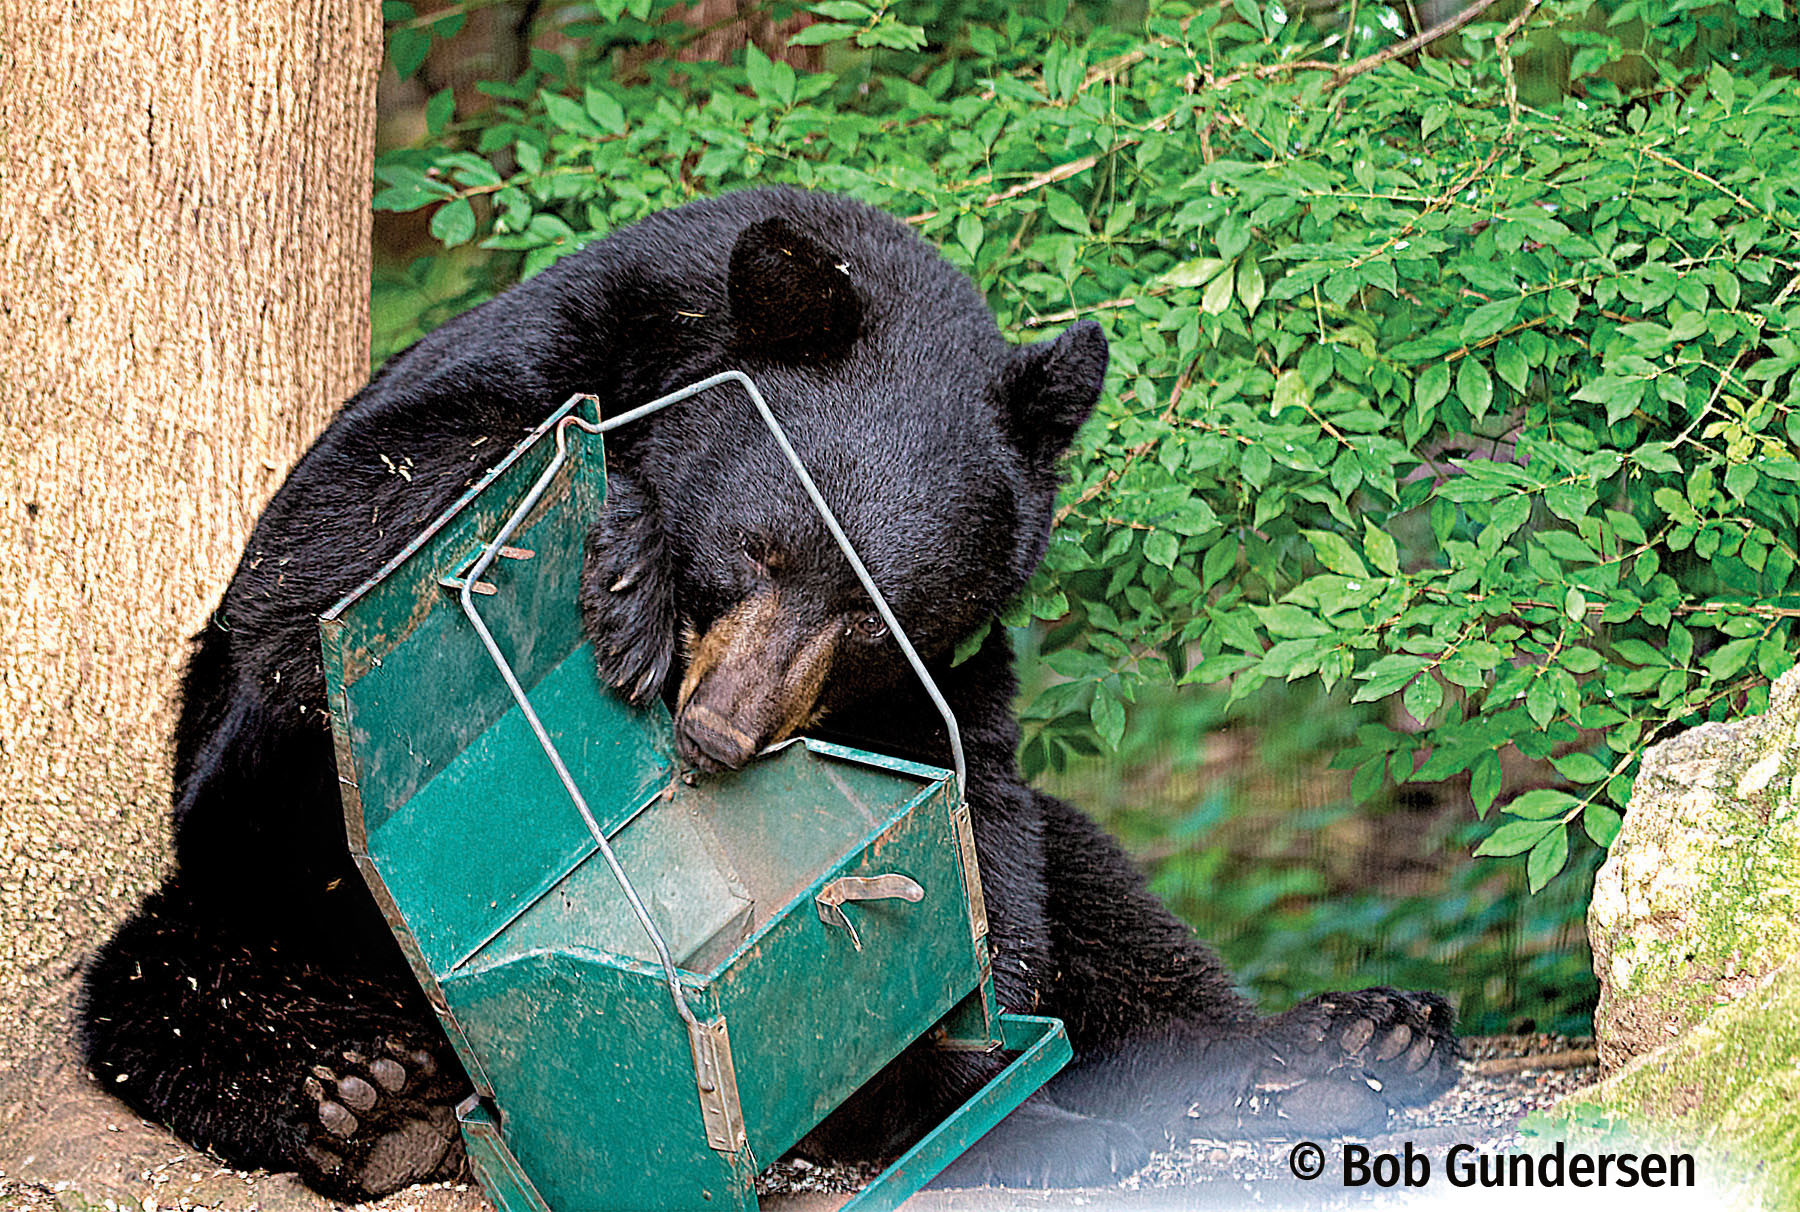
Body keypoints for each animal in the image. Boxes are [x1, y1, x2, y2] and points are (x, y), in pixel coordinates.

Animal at [78, 186, 1459, 1200]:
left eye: (876, 619)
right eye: (761, 548)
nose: (717, 732)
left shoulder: (961, 679)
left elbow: (987, 838)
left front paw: (958, 1067)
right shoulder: (477, 390)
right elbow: (329, 575)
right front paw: (620, 565)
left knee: (1106, 900)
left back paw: (1340, 1043)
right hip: (249, 926)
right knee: (170, 981)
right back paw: (366, 1102)